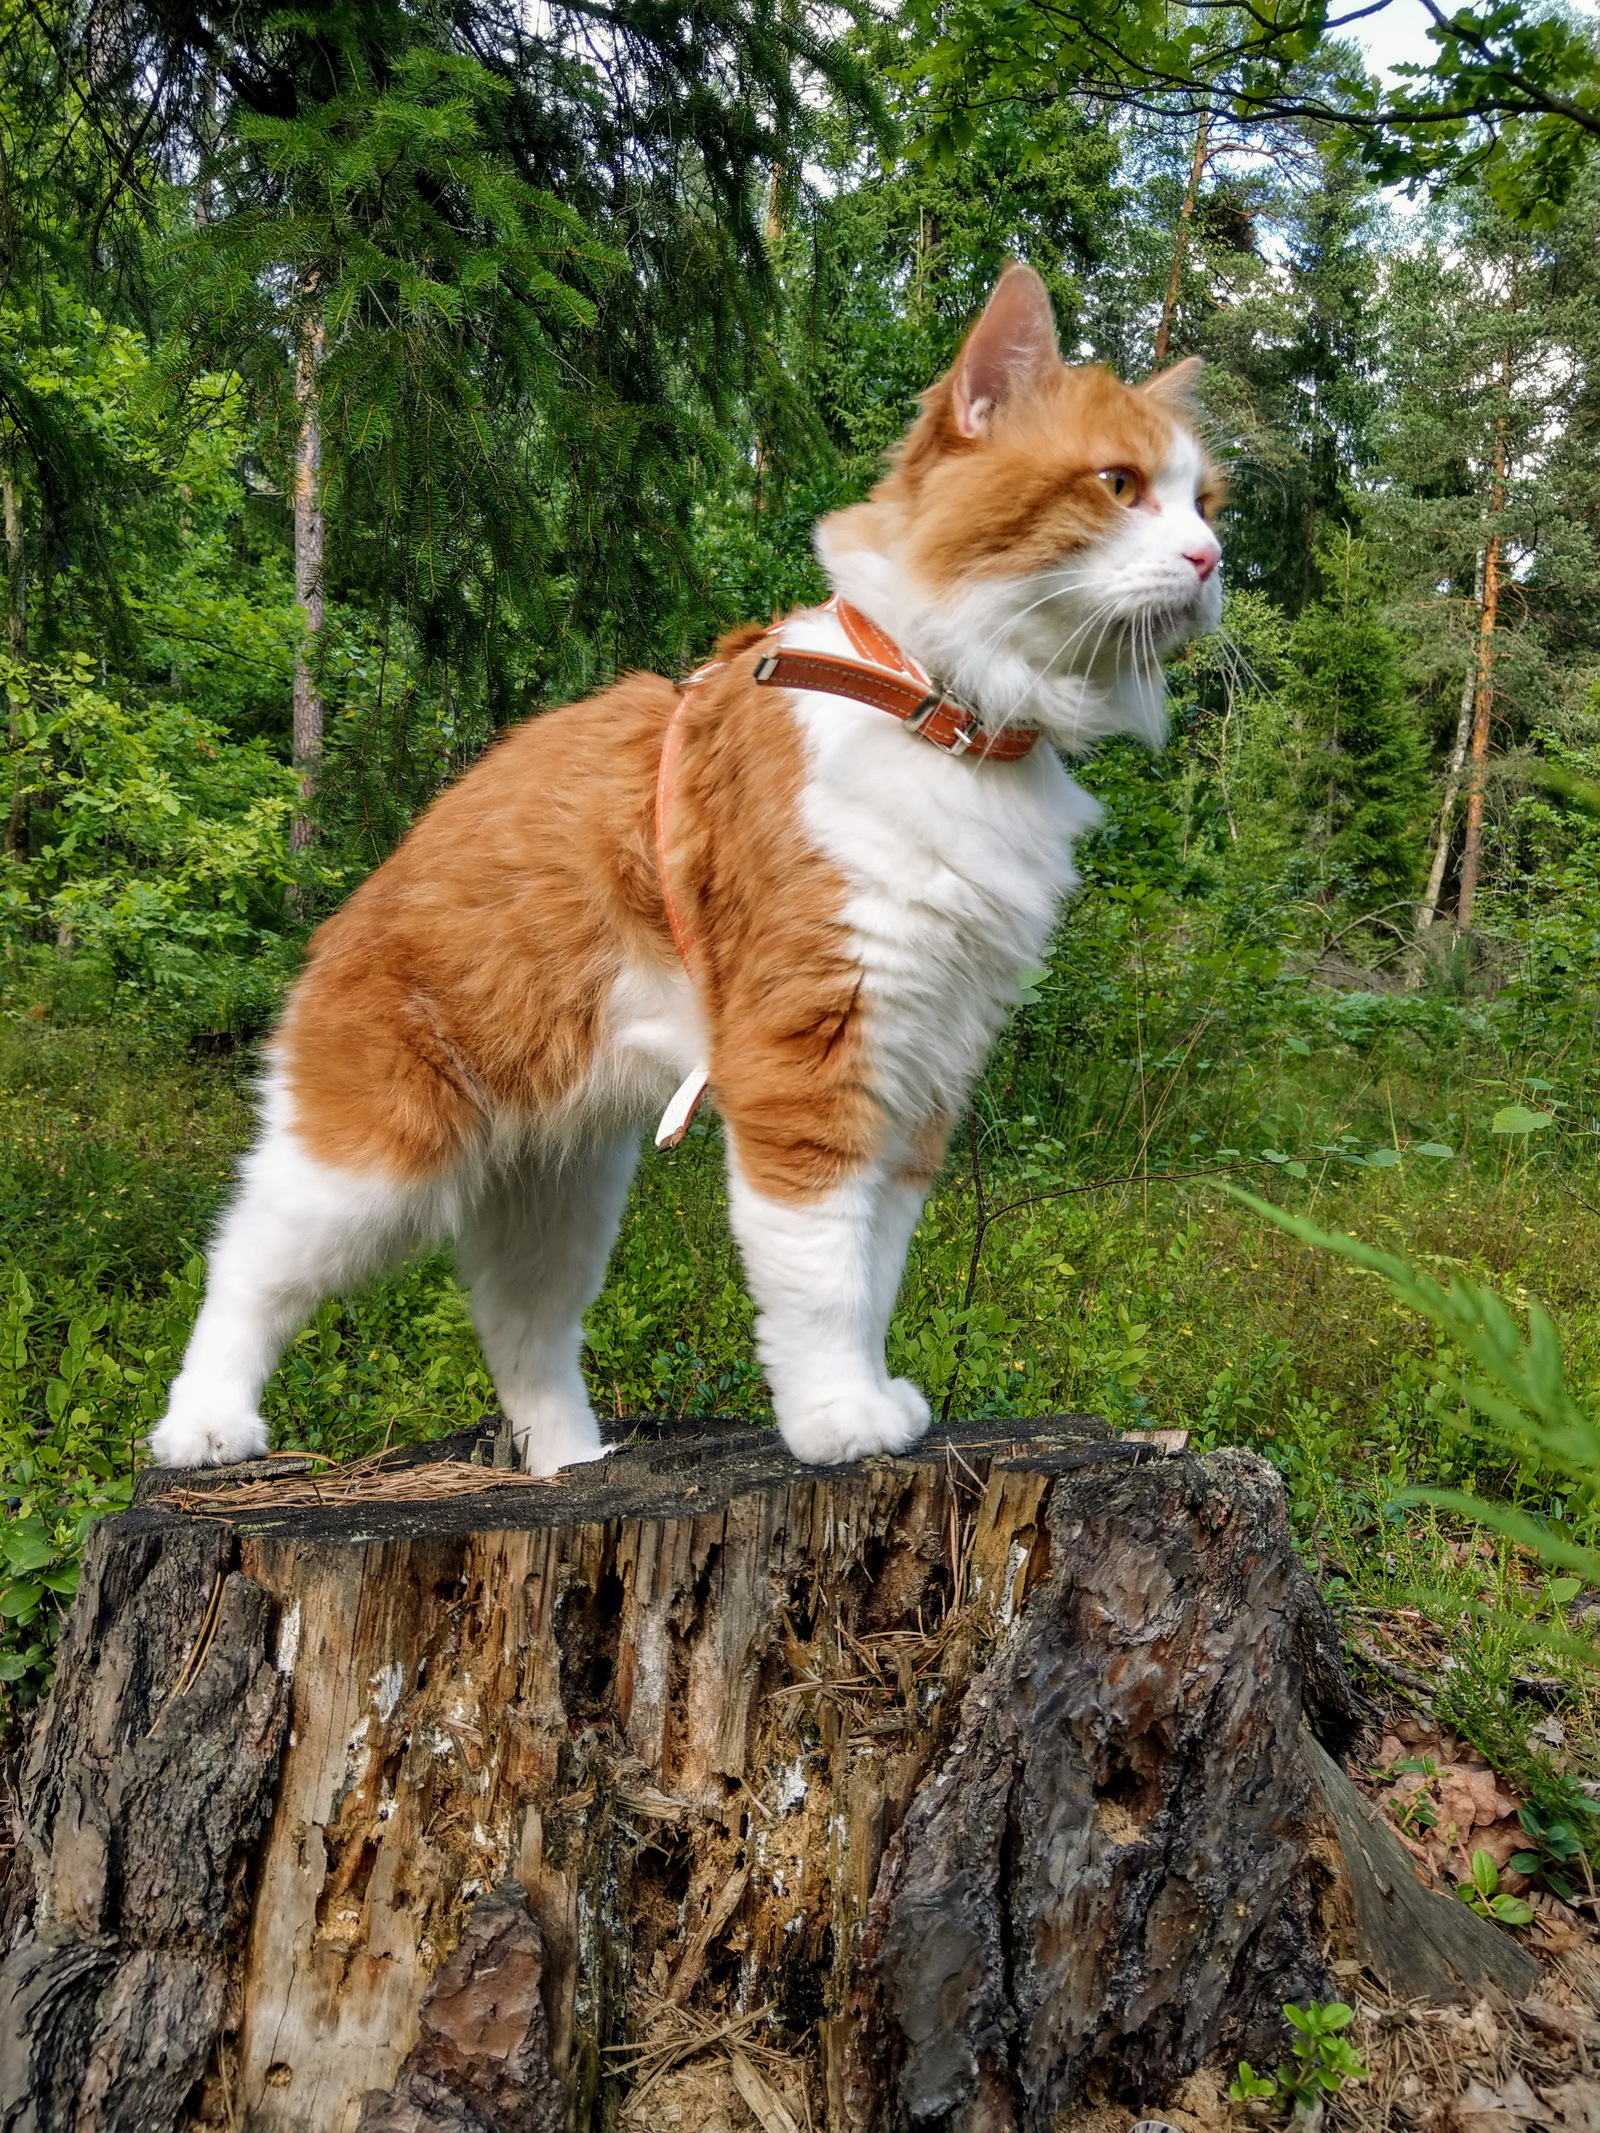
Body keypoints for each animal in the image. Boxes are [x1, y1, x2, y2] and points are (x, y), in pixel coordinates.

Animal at [153, 258, 1228, 1476]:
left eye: (1207, 504)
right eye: (1118, 485)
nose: (1210, 563)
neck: (934, 706)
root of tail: (343, 913)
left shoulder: (919, 1073)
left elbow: (874, 1272)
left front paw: (867, 1397)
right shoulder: (810, 1062)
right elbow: (821, 1277)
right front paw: (836, 1418)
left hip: (560, 1201)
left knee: (524, 1334)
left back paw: (572, 1463)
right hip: (372, 1169)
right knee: (243, 1264)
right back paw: (203, 1424)